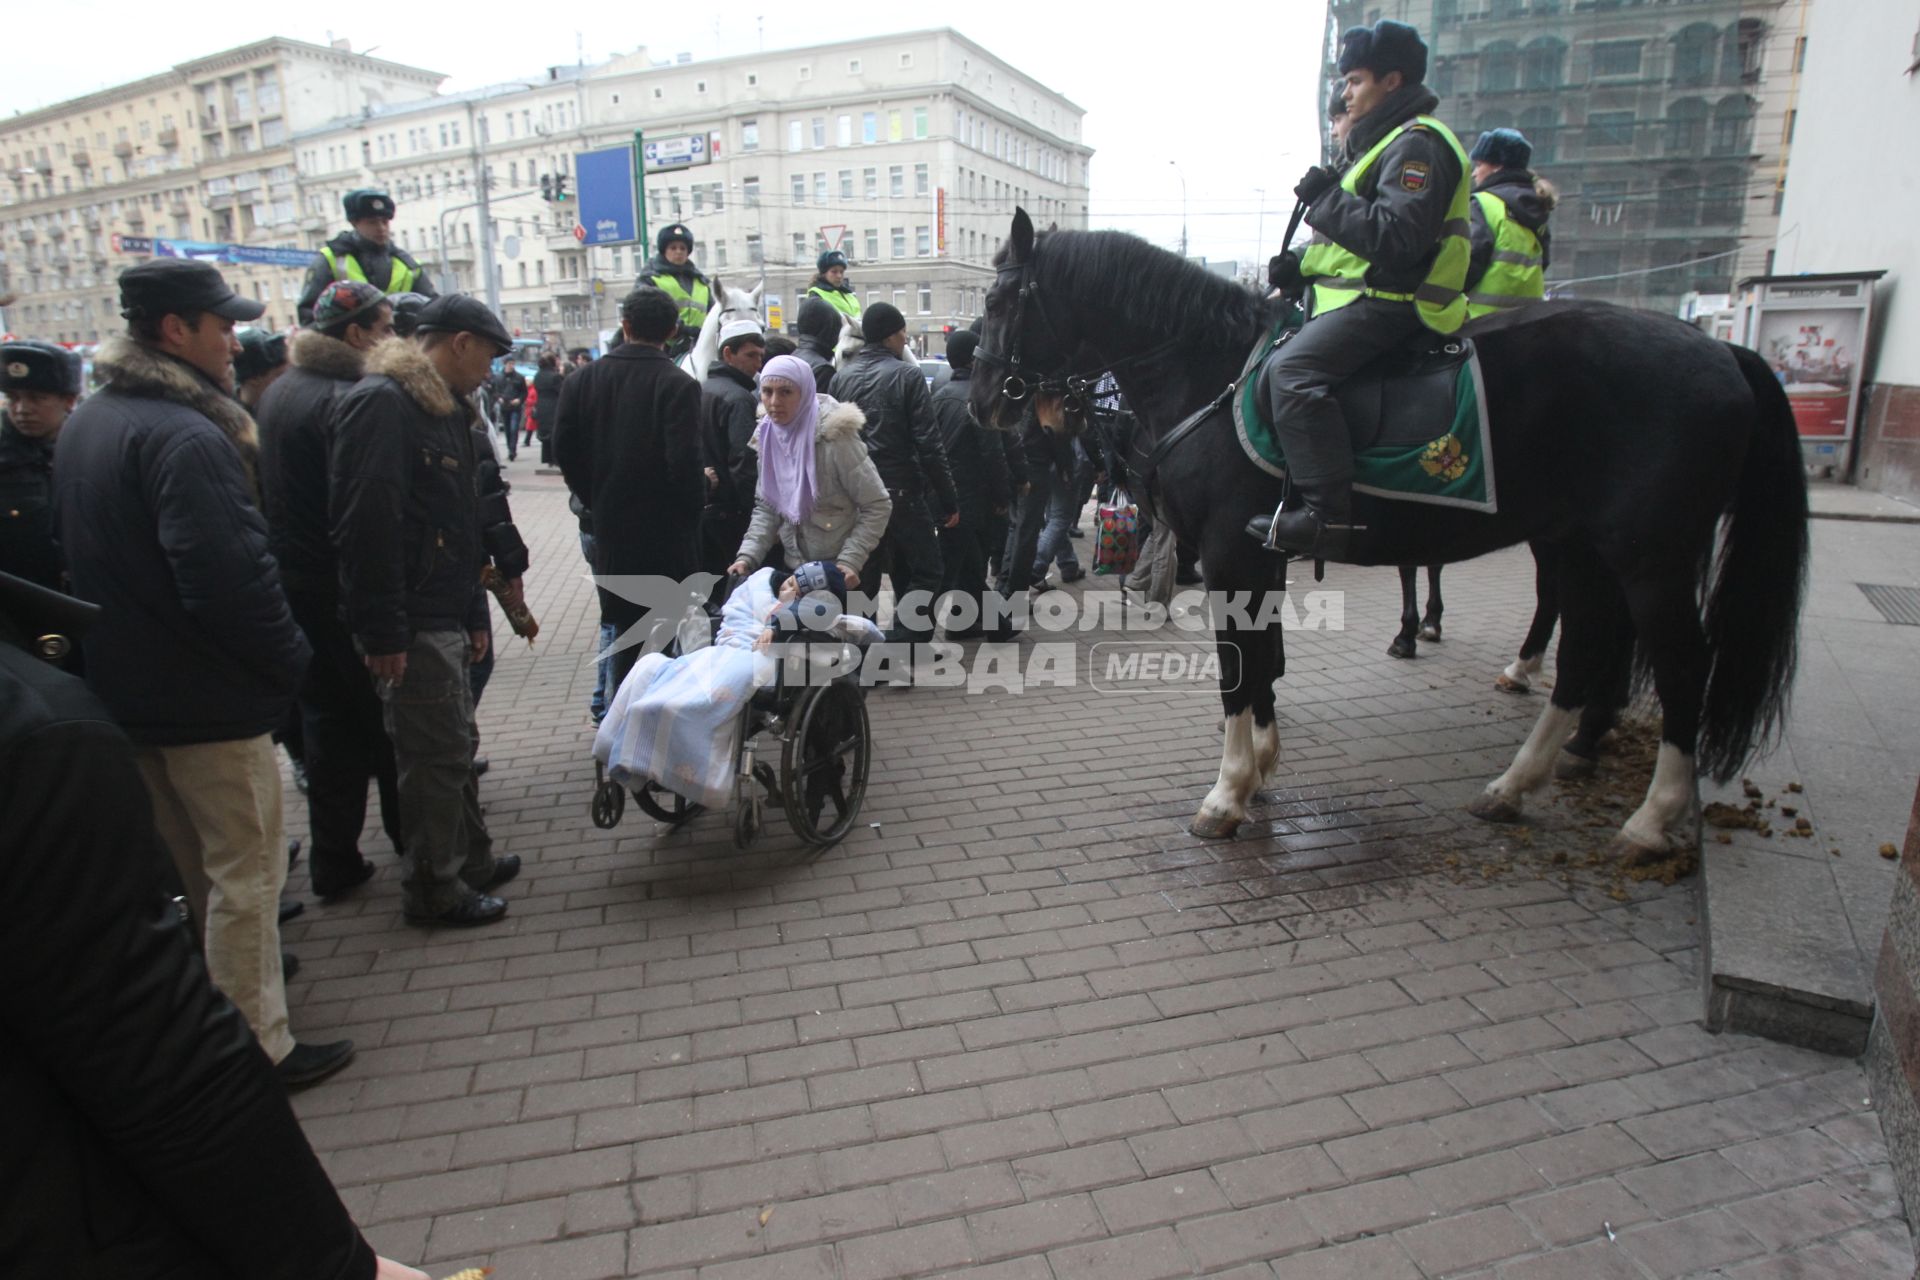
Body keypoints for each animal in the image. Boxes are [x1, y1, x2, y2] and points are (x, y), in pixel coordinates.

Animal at [983, 210, 1804, 867]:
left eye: (995, 300)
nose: (988, 402)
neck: (1212, 375)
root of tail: (1722, 352)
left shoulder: (1228, 554)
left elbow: (1239, 671)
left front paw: (1227, 793)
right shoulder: (1261, 556)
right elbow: (1265, 661)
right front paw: (1263, 767)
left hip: (1649, 558)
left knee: (1681, 669)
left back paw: (1650, 819)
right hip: (1583, 548)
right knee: (1586, 652)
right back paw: (1516, 783)